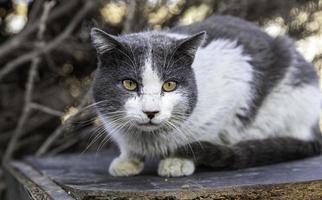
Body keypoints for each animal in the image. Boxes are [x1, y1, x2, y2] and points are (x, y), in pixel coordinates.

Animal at [89, 16, 320, 178]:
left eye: (170, 85)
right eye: (129, 84)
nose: (151, 111)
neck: (150, 139)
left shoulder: (237, 75)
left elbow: (203, 134)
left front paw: (178, 160)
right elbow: (128, 147)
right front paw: (127, 161)